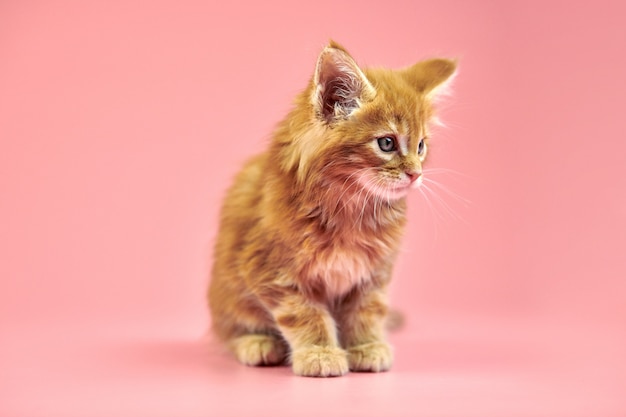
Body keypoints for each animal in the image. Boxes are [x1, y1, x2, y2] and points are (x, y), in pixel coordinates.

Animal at [207, 41, 456, 376]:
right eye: (387, 143)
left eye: (421, 146)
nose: (416, 174)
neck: (351, 207)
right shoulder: (271, 269)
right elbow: (304, 314)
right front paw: (320, 353)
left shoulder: (373, 273)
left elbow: (367, 310)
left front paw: (366, 346)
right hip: (228, 292)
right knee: (229, 329)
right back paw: (257, 343)